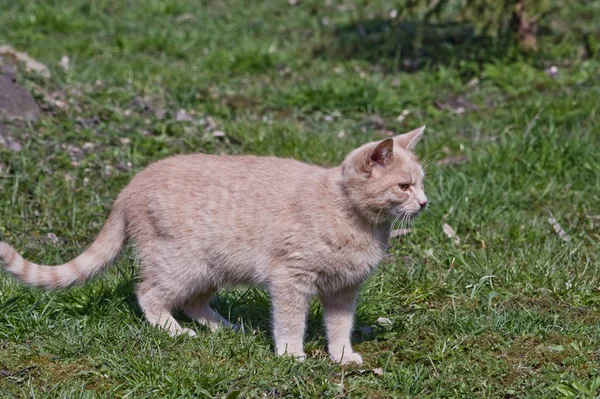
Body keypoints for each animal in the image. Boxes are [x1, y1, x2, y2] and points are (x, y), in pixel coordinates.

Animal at [2, 127, 428, 366]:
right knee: (148, 294)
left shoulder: (343, 291)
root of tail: (130, 186)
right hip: (181, 265)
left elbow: (340, 327)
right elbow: (290, 323)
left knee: (193, 303)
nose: (424, 203)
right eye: (404, 186)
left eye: (421, 184)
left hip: (210, 270)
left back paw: (225, 328)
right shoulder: (291, 281)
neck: (356, 220)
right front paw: (292, 355)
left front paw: (341, 358)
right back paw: (176, 332)